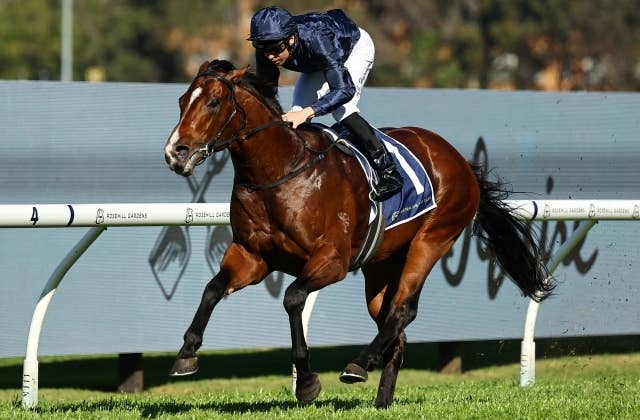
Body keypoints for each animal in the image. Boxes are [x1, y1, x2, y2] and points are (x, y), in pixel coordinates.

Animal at [163, 59, 553, 408]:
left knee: (404, 311)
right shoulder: (251, 256)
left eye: (214, 102)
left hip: (434, 238)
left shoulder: (332, 260)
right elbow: (212, 289)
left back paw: (358, 365)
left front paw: (307, 382)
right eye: (182, 100)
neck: (280, 172)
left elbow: (293, 298)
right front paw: (186, 353)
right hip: (380, 267)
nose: (175, 152)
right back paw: (381, 399)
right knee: (395, 326)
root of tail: (458, 159)